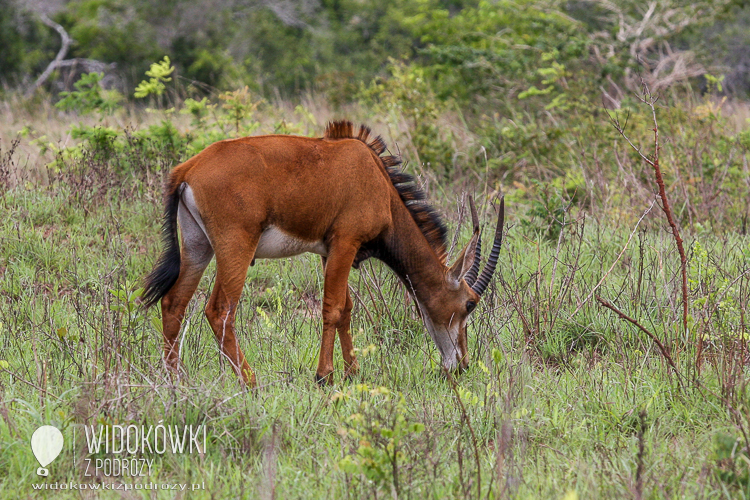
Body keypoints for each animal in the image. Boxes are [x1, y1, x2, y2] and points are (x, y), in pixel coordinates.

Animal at [142, 120, 506, 386]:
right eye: (469, 304)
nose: (461, 365)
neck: (378, 182)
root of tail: (188, 169)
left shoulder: (329, 250)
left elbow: (346, 308)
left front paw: (352, 371)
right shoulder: (346, 241)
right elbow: (332, 308)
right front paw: (324, 376)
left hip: (196, 247)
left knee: (174, 303)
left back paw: (176, 382)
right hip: (236, 248)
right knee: (218, 310)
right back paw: (251, 381)